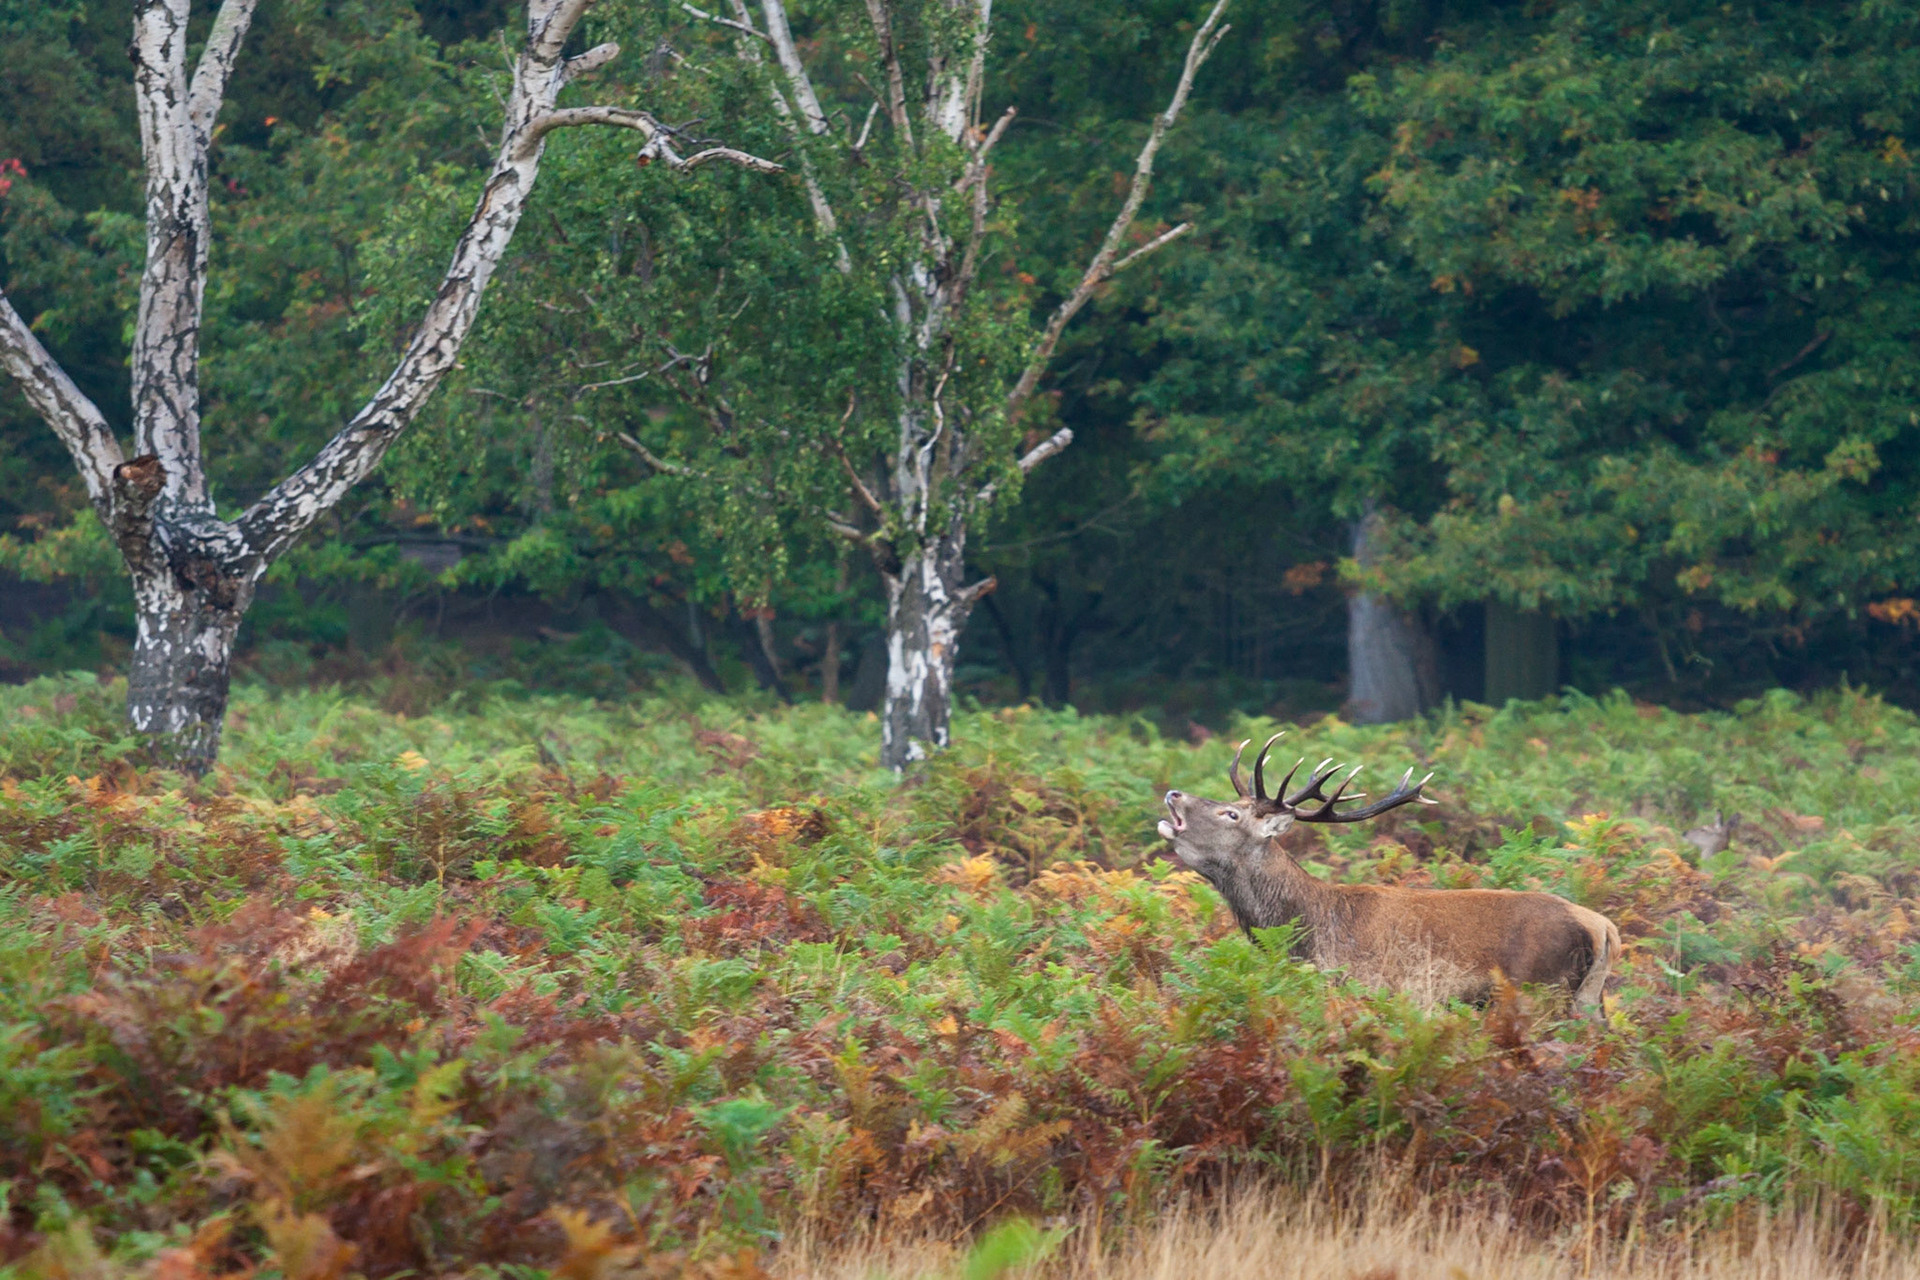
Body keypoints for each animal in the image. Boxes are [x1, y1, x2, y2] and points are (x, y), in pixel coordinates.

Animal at [1158, 734, 1619, 1015]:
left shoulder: (1381, 989)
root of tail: (1603, 927)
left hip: (1539, 991)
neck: (1306, 939)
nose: (1173, 793)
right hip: (1588, 999)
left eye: (1231, 814)